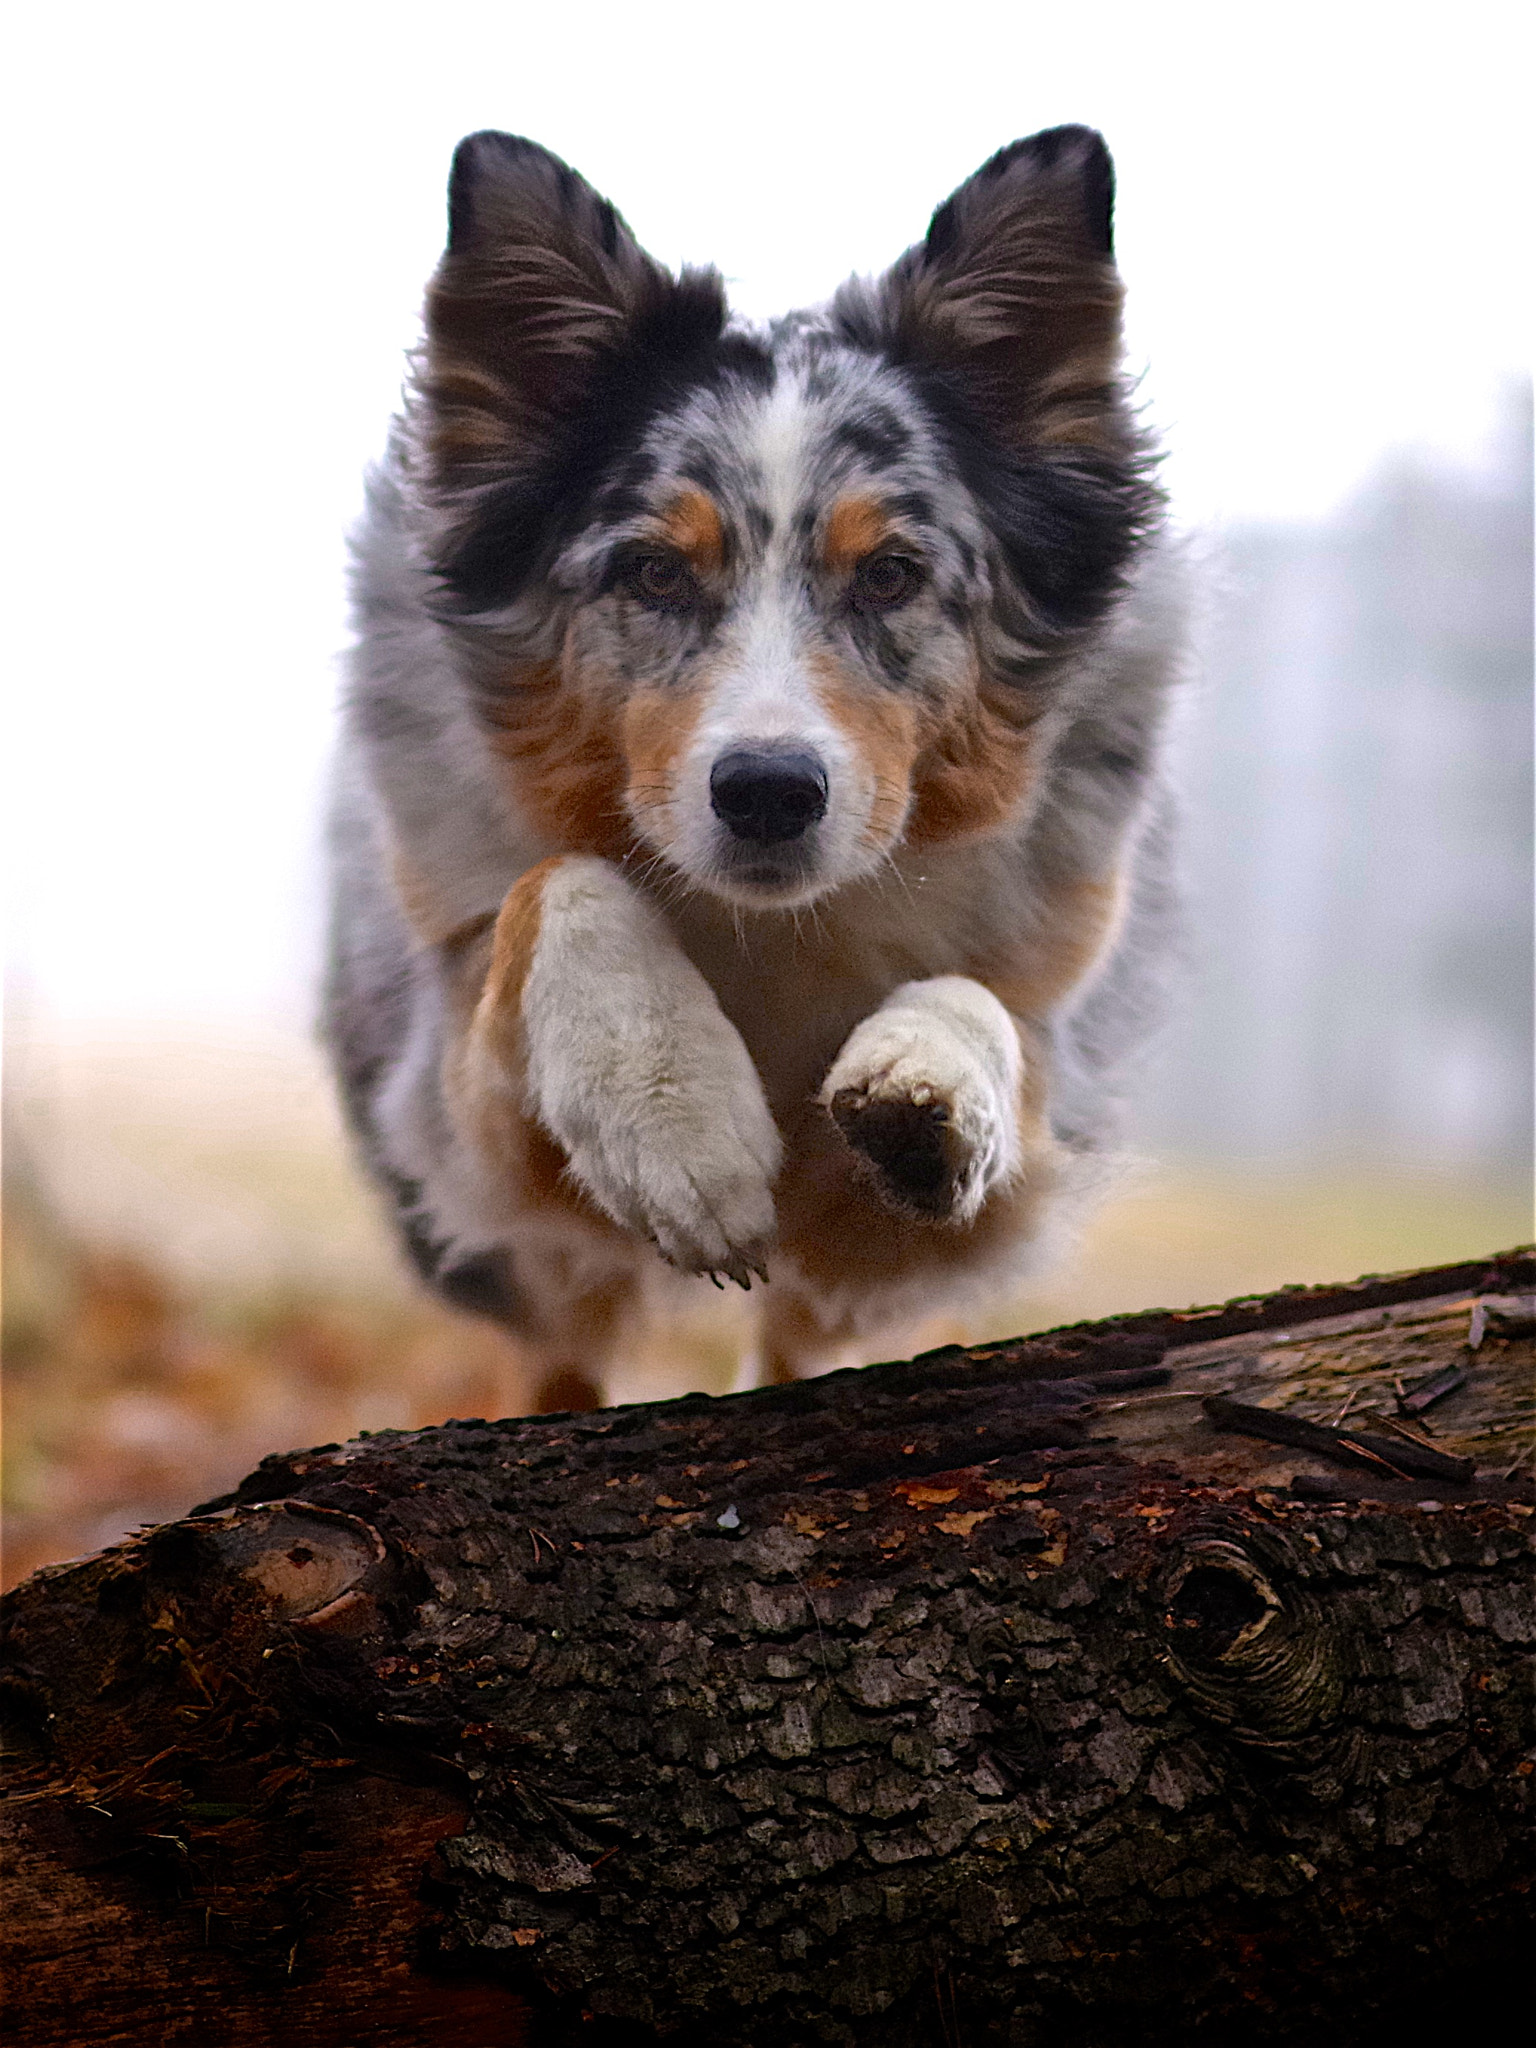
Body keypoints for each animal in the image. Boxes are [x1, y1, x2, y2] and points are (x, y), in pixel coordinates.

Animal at [327, 123, 1187, 1409]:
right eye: (653, 572)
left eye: (889, 575)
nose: (769, 792)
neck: (773, 927)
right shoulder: (463, 1127)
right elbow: (557, 886)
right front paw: (675, 1118)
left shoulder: (974, 1174)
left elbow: (988, 1021)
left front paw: (931, 1076)